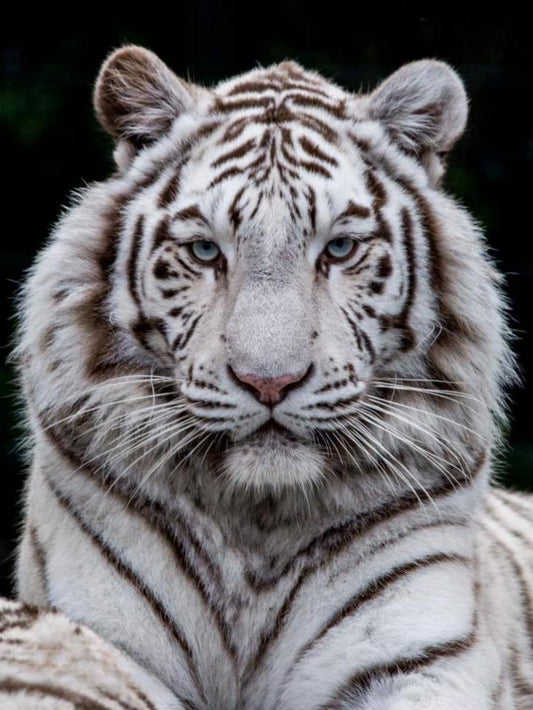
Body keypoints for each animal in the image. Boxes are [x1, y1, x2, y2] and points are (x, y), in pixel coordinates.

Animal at [6, 44, 533, 709]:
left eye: (339, 249)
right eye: (206, 251)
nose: (269, 383)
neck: (258, 527)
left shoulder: (416, 656)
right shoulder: (97, 636)